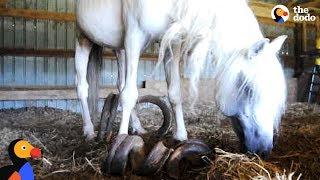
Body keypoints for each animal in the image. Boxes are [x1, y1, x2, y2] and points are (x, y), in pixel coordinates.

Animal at [75, 0, 288, 156]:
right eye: (249, 89)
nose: (264, 150)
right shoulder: (134, 36)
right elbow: (130, 94)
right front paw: (120, 140)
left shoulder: (172, 42)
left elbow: (174, 93)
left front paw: (181, 136)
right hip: (83, 38)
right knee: (83, 88)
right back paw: (89, 131)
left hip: (119, 48)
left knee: (120, 84)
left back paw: (137, 127)